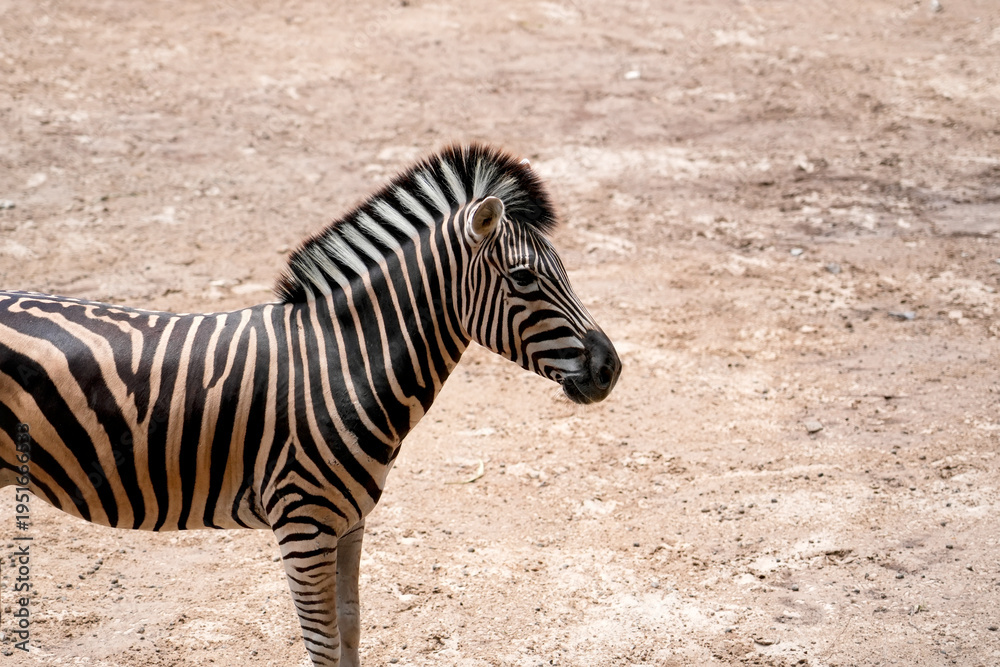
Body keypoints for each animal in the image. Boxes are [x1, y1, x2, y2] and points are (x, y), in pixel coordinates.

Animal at [0, 143, 621, 666]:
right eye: (524, 278)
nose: (610, 368)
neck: (341, 364)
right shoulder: (303, 525)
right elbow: (322, 643)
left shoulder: (349, 521)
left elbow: (350, 625)